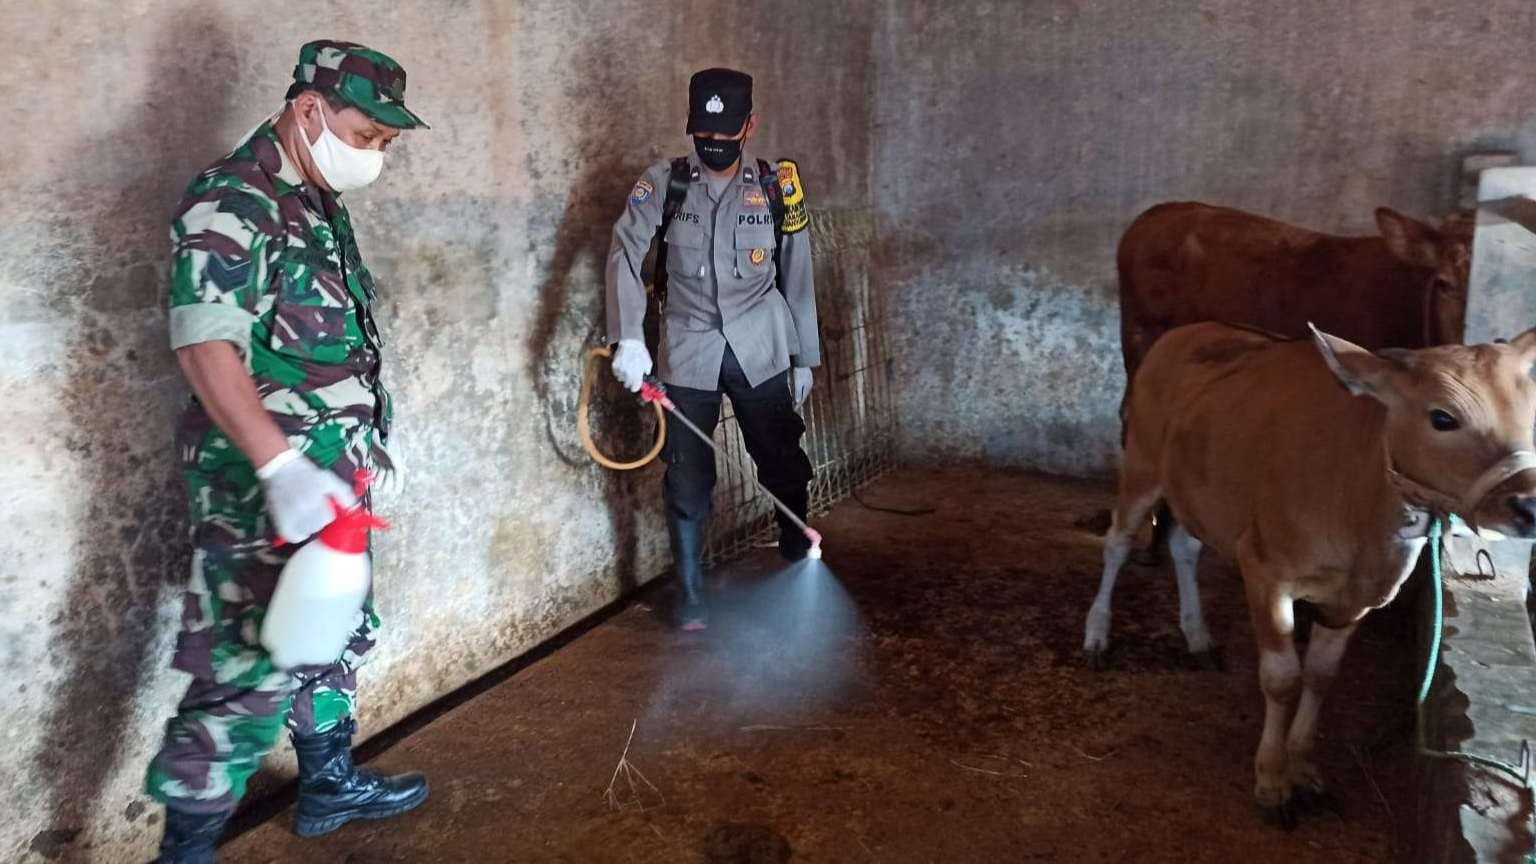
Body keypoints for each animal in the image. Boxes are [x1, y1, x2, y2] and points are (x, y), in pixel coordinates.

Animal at [1087, 319, 1536, 824]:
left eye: (1532, 410)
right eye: (1442, 418)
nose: (1529, 505)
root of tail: (1185, 331)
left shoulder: (1355, 600)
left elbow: (1322, 675)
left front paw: (1303, 768)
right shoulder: (1265, 569)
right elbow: (1282, 679)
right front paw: (1271, 783)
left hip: (1199, 494)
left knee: (1184, 547)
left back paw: (1198, 636)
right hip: (1141, 462)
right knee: (1118, 542)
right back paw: (1097, 636)